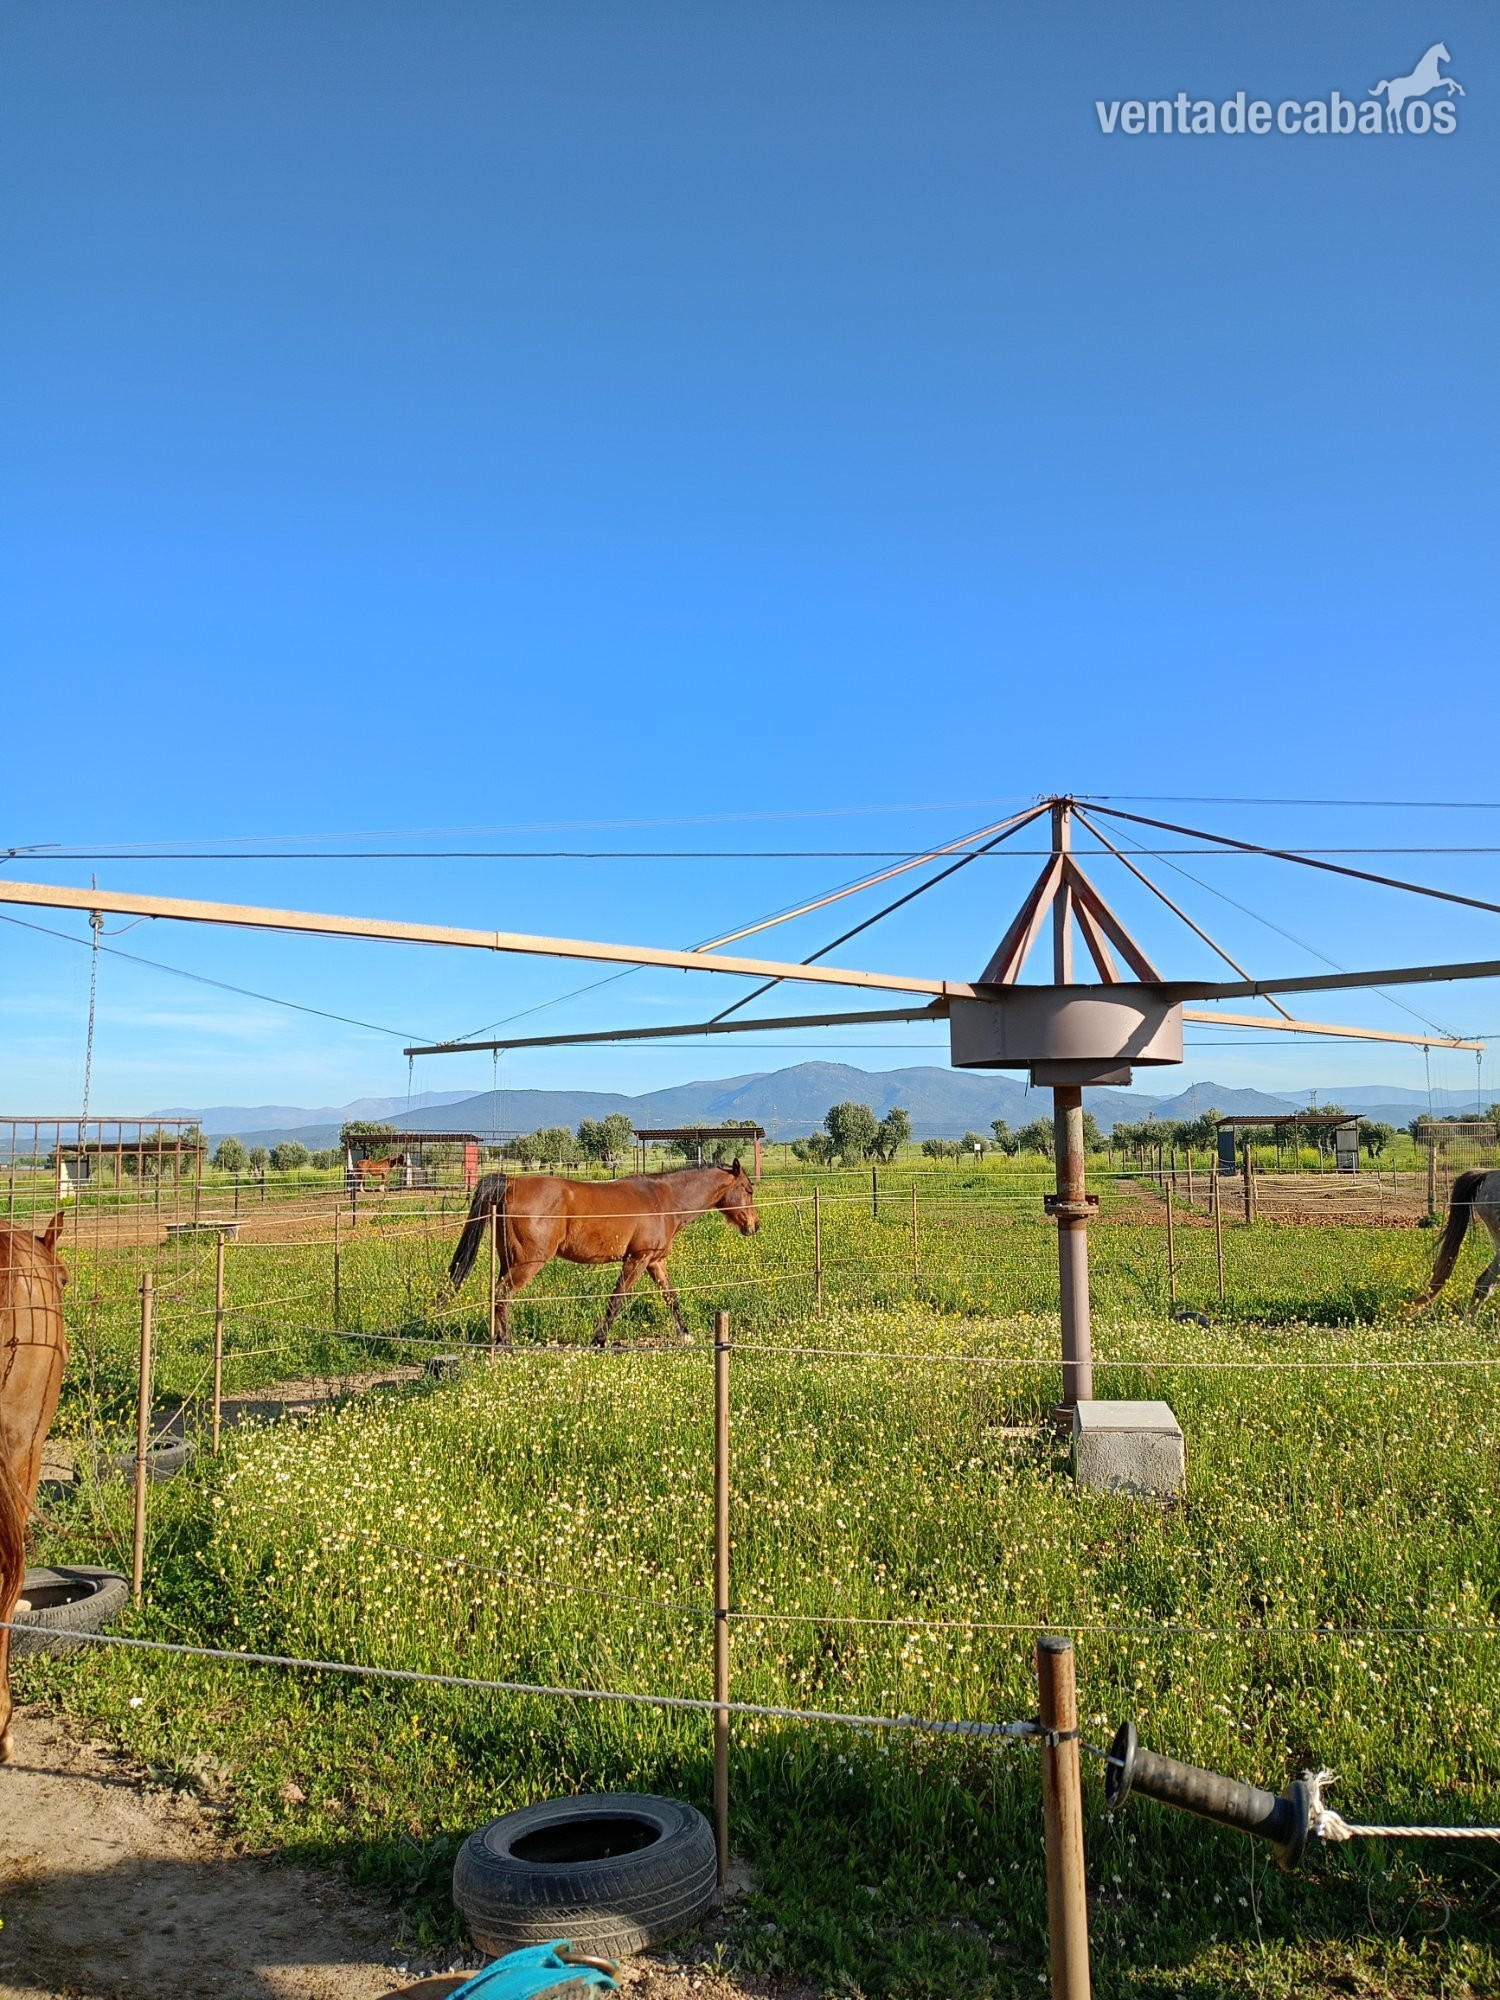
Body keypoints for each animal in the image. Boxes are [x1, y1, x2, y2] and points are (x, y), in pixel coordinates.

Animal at [449, 1162, 759, 1346]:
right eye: (748, 1189)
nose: (755, 1225)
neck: (664, 1199)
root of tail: (511, 1182)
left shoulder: (655, 1261)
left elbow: (672, 1298)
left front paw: (685, 1335)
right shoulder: (636, 1259)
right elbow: (617, 1300)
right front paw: (599, 1340)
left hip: (507, 1261)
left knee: (497, 1296)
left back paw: (497, 1341)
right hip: (528, 1263)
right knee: (503, 1294)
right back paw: (507, 1344)